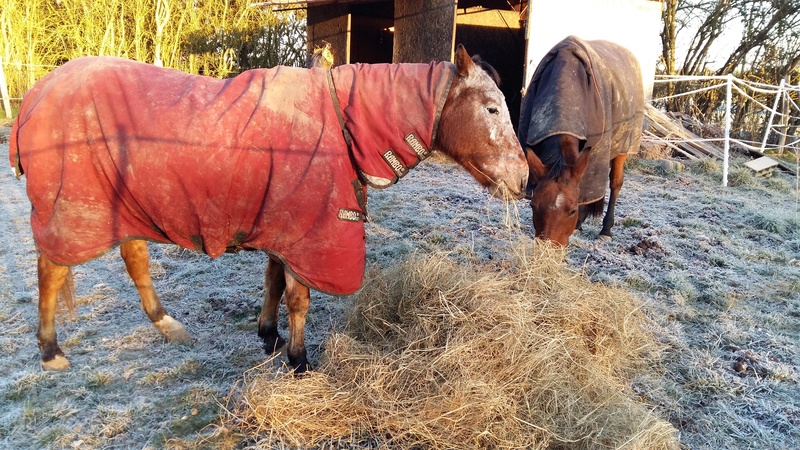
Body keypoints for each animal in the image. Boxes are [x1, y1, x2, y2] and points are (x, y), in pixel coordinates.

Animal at [12, 44, 528, 372]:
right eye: (491, 109)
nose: (523, 179)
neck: (341, 122)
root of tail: (35, 95)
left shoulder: (287, 228)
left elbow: (275, 283)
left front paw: (268, 336)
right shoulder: (308, 230)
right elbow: (299, 299)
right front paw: (298, 361)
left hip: (125, 204)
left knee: (132, 257)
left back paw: (169, 327)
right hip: (73, 211)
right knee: (52, 270)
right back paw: (51, 351)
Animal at [520, 35, 644, 248]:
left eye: (571, 211)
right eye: (533, 205)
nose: (549, 250)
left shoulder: (594, 156)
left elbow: (587, 193)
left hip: (622, 148)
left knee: (615, 183)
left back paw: (606, 230)